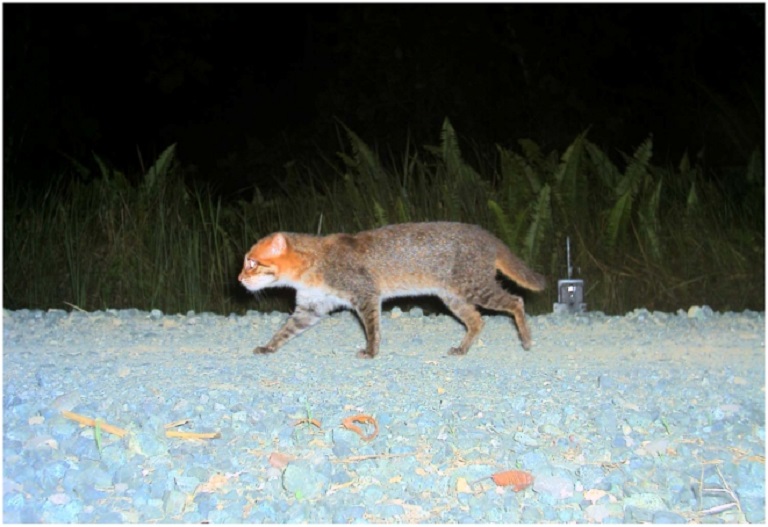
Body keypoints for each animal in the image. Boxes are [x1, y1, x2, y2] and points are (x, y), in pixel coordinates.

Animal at [240, 223, 544, 358]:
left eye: (252, 263)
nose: (239, 278)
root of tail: (488, 236)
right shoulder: (311, 307)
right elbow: (284, 331)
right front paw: (268, 346)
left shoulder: (365, 295)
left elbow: (373, 329)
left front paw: (371, 351)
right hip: (454, 297)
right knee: (478, 321)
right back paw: (462, 348)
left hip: (475, 288)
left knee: (516, 301)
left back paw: (527, 339)